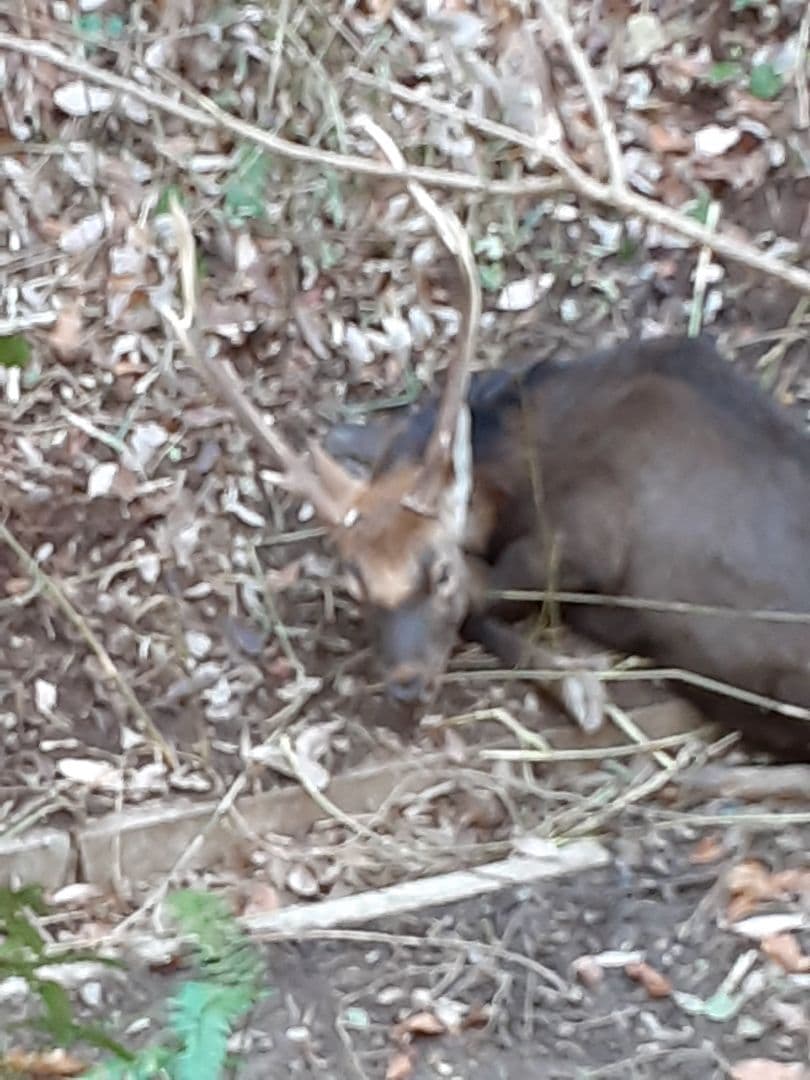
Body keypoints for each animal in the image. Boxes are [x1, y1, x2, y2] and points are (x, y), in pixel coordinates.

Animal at [160, 183, 810, 760]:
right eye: (354, 585)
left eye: (438, 572)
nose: (406, 682)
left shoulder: (583, 540)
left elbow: (485, 598)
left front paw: (576, 685)